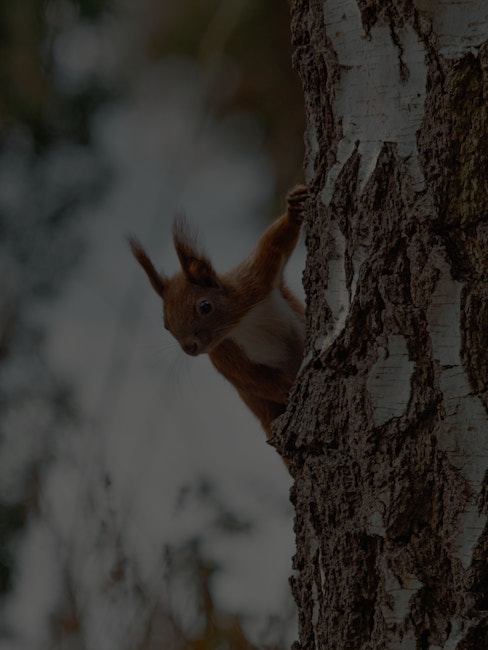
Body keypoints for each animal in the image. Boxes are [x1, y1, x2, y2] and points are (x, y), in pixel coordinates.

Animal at [129, 185, 307, 439]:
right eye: (165, 325)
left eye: (205, 306)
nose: (189, 347)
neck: (241, 322)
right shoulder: (224, 355)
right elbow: (253, 379)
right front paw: (289, 389)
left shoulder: (255, 281)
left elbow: (275, 242)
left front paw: (294, 208)